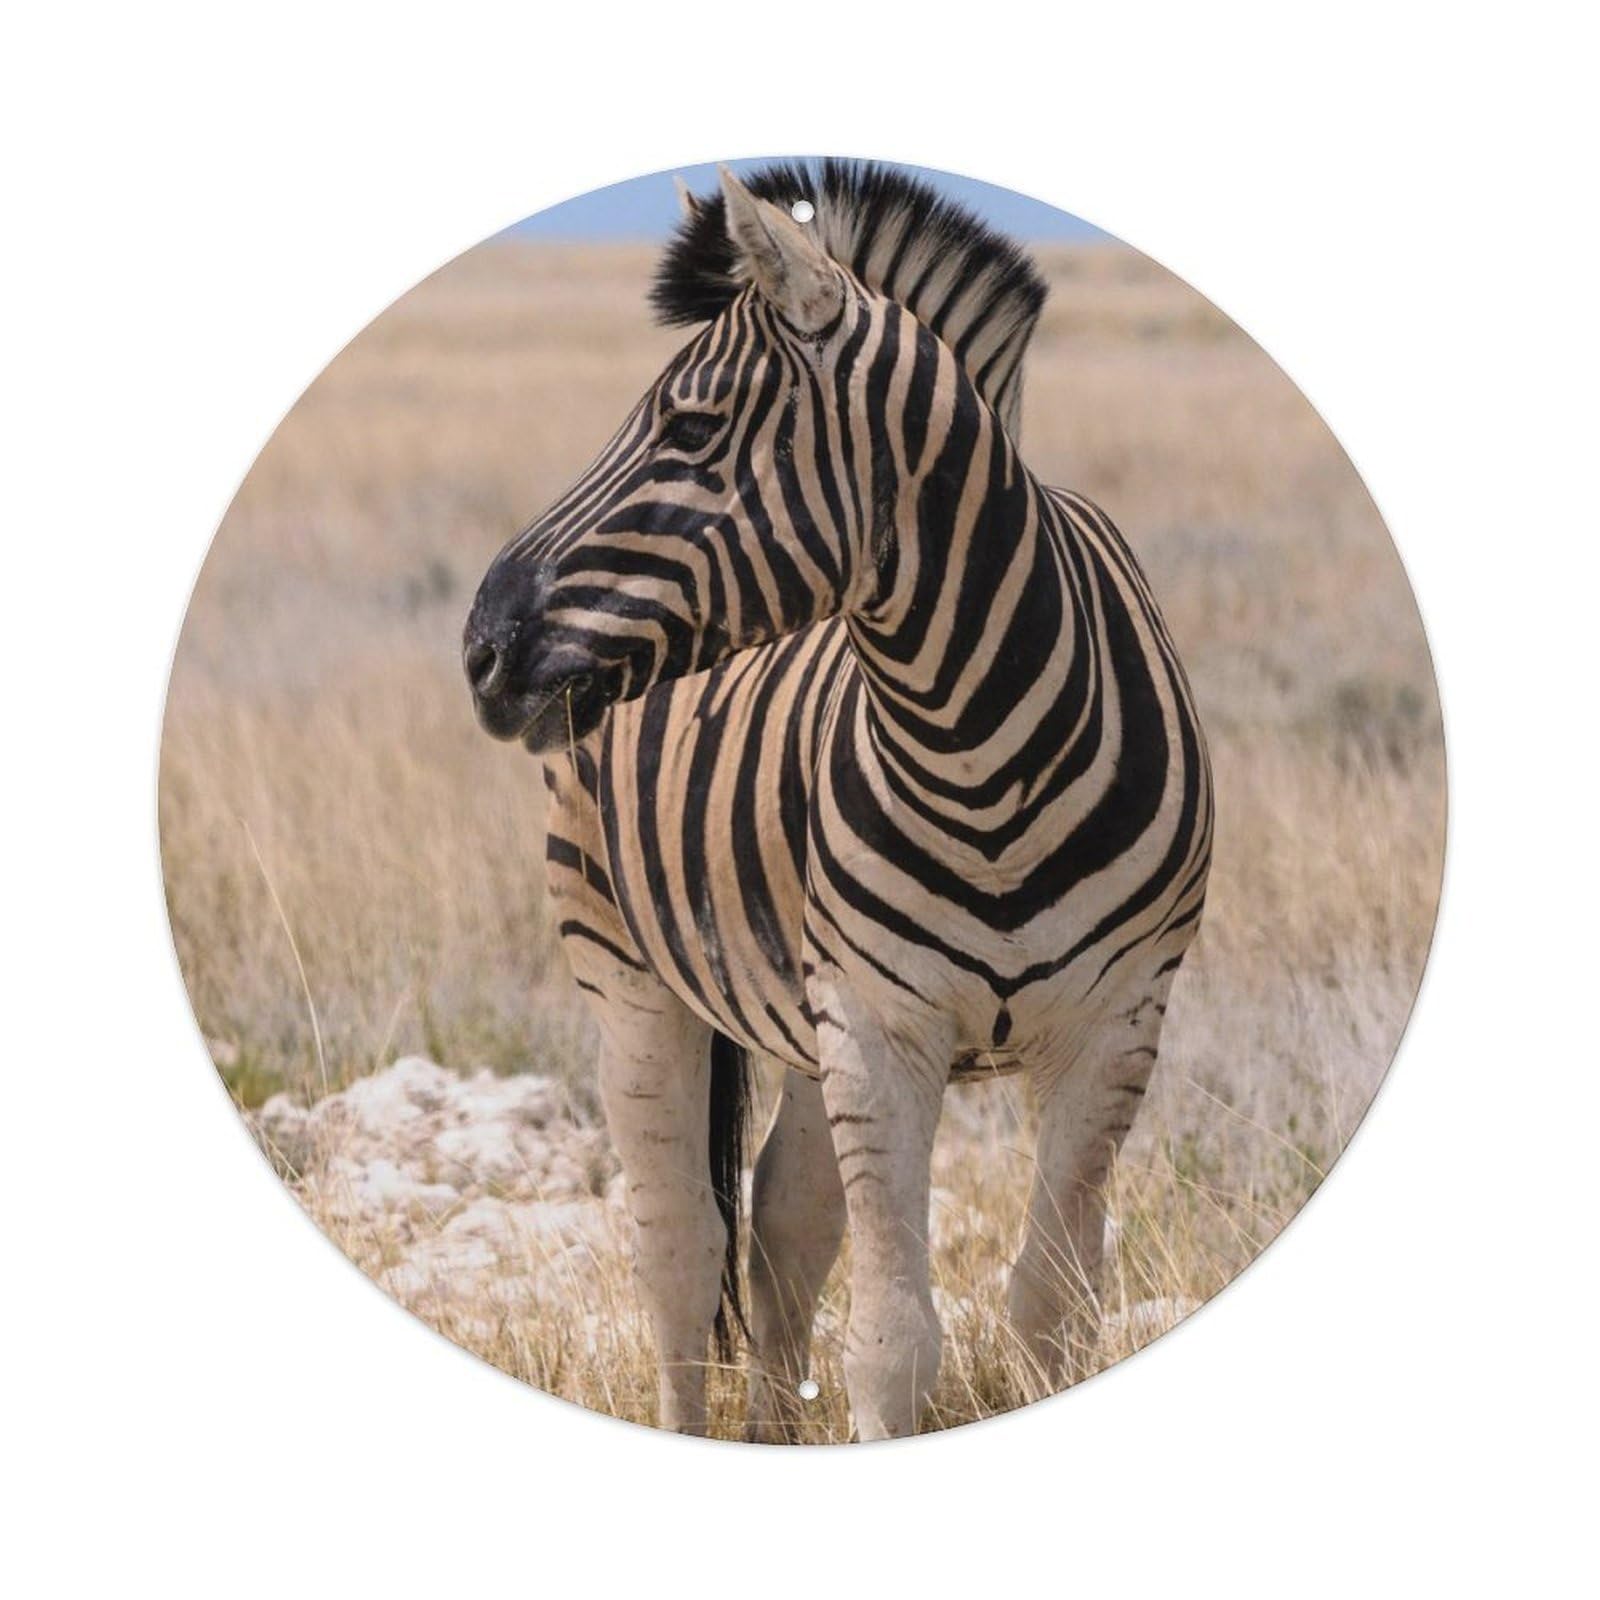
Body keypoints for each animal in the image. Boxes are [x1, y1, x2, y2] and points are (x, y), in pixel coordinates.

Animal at [464, 161, 1213, 1440]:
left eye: (691, 428)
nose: (479, 649)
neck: (978, 750)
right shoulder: (877, 1021)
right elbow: (891, 1339)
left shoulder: (1114, 1023)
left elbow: (1051, 1305)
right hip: (625, 964)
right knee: (680, 1248)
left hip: (799, 1016)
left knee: (779, 1224)